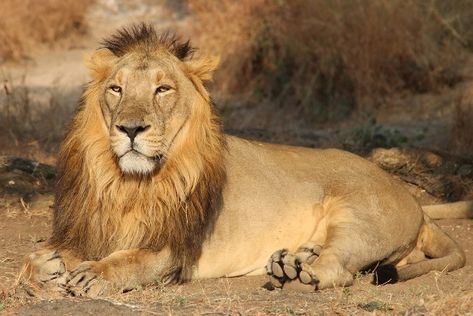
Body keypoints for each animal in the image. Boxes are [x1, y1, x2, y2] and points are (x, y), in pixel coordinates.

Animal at [24, 24, 468, 296]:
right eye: (116, 89)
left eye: (162, 89)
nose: (130, 129)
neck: (129, 183)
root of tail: (416, 205)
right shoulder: (88, 228)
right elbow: (37, 259)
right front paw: (47, 265)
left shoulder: (173, 249)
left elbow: (130, 261)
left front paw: (93, 274)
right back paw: (292, 260)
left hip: (360, 216)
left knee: (339, 269)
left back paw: (296, 275)